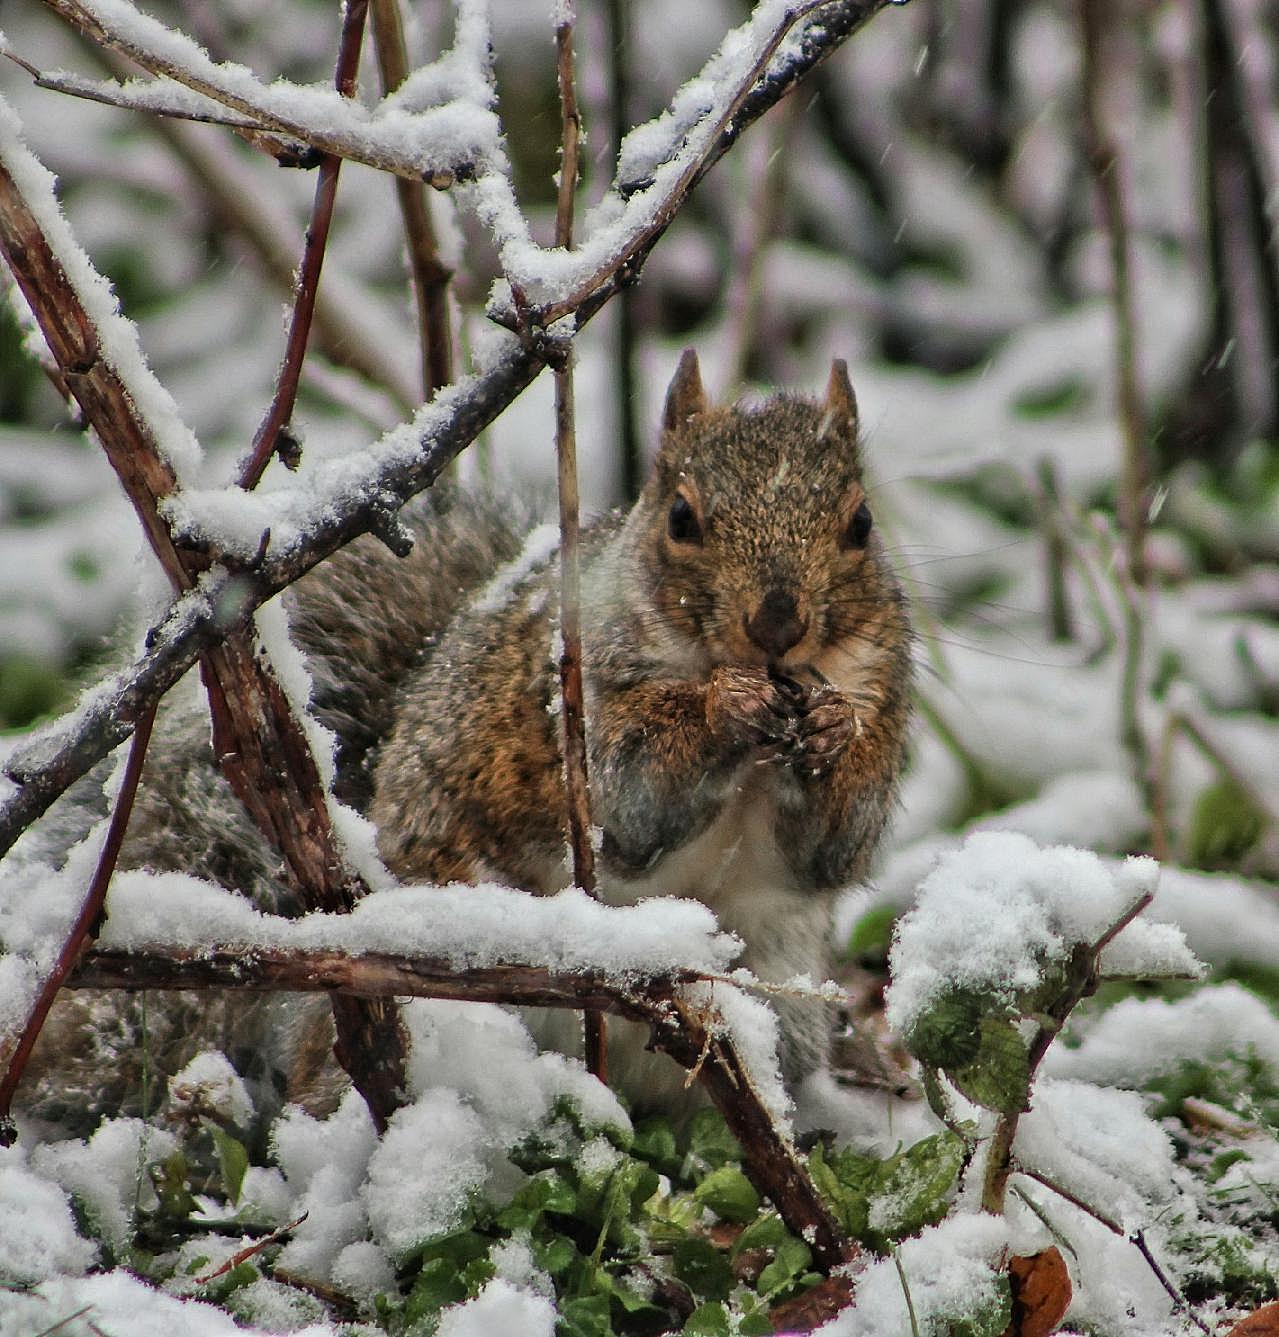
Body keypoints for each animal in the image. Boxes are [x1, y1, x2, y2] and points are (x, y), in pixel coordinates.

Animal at [24, 347, 914, 1128]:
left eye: (861, 523)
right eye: (681, 519)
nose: (778, 623)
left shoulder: (881, 696)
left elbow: (831, 847)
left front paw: (832, 731)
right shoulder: (575, 707)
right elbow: (634, 801)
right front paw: (723, 705)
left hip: (778, 1012)